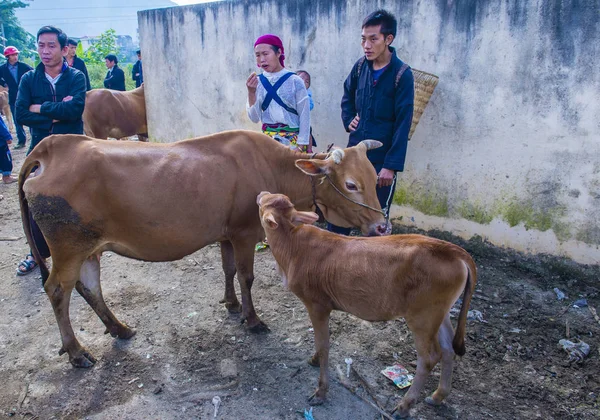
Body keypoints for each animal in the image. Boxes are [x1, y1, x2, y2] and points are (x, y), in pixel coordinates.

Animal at [19, 131, 390, 368]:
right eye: (351, 184)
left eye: (375, 178)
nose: (382, 227)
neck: (273, 167)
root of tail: (53, 145)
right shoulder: (245, 232)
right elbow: (246, 276)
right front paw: (252, 318)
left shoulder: (226, 234)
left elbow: (228, 270)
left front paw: (231, 303)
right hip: (68, 248)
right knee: (57, 290)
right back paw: (76, 352)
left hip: (89, 246)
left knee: (89, 287)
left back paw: (119, 328)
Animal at [258, 193, 478, 416]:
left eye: (262, 205)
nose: (261, 193)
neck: (292, 244)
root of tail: (453, 249)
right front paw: (314, 360)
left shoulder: (317, 304)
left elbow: (323, 344)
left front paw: (321, 391)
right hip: (439, 313)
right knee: (448, 348)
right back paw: (438, 396)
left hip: (422, 317)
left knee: (429, 358)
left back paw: (405, 405)